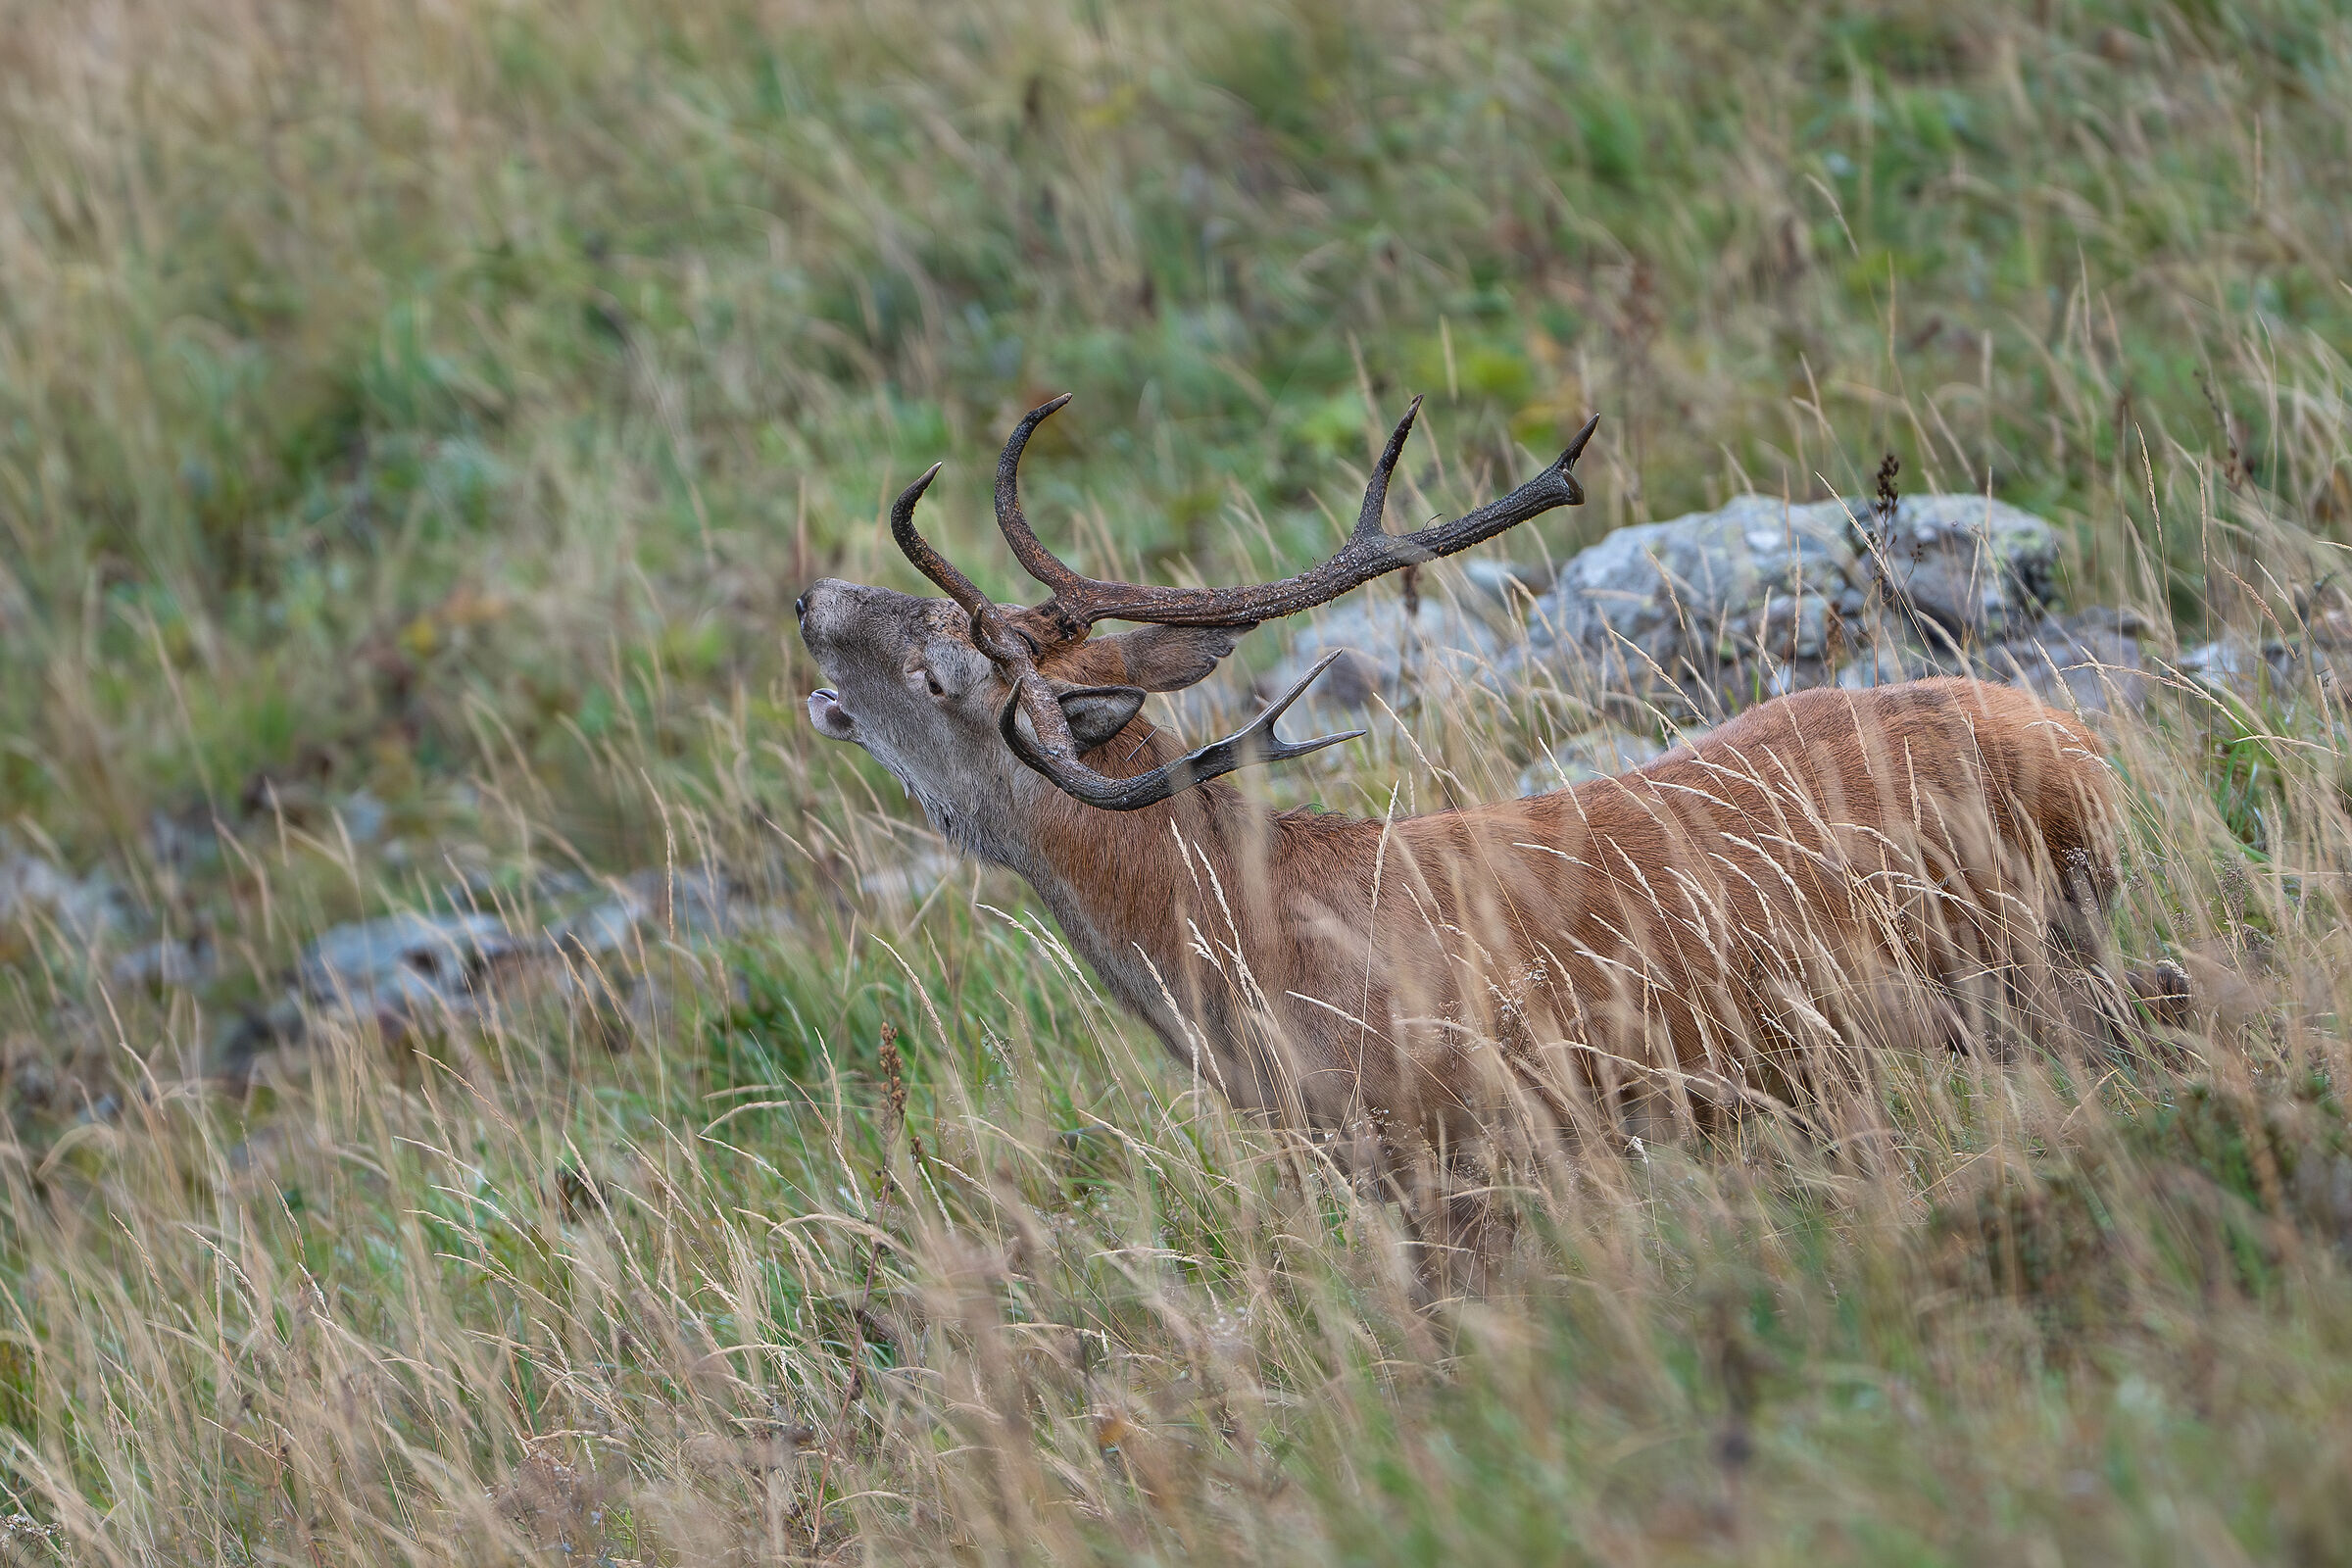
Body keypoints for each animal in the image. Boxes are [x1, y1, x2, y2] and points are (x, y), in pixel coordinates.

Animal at [796, 396, 2130, 1183]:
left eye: (937, 669)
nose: (813, 597)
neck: (1242, 952)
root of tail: (2080, 745)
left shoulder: (1458, 1139)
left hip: (2013, 962)